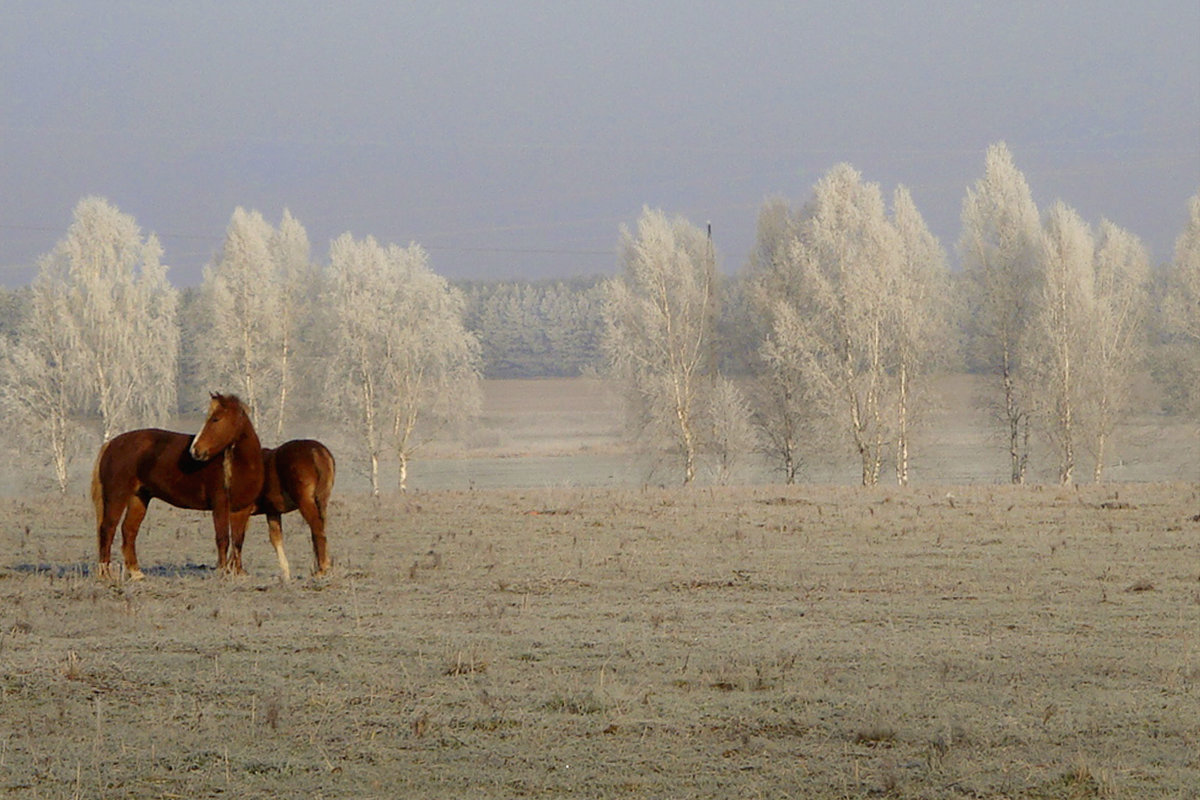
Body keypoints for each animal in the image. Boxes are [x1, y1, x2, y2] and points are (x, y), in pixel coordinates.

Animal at [91, 391, 265, 578]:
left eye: (216, 419)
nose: (195, 450)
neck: (238, 465)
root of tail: (110, 444)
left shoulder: (242, 509)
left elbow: (238, 540)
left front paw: (238, 572)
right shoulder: (220, 505)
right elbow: (222, 537)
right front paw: (222, 570)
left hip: (139, 498)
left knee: (128, 531)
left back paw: (136, 572)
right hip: (116, 496)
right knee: (107, 529)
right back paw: (106, 573)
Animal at [236, 438, 336, 582]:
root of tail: (316, 451)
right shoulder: (272, 512)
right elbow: (275, 538)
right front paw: (286, 574)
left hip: (306, 503)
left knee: (318, 530)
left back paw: (321, 570)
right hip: (321, 502)